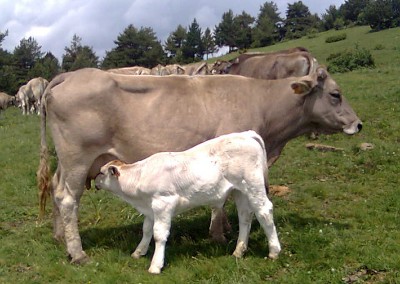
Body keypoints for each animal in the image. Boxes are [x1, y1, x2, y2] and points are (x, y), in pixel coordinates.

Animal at [94, 131, 282, 276]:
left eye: (101, 172)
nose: (94, 181)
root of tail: (245, 134)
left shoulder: (163, 203)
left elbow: (159, 234)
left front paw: (155, 265)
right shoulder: (150, 208)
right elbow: (146, 230)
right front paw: (139, 252)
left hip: (253, 185)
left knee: (264, 211)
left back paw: (274, 251)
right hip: (240, 191)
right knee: (245, 217)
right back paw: (238, 251)